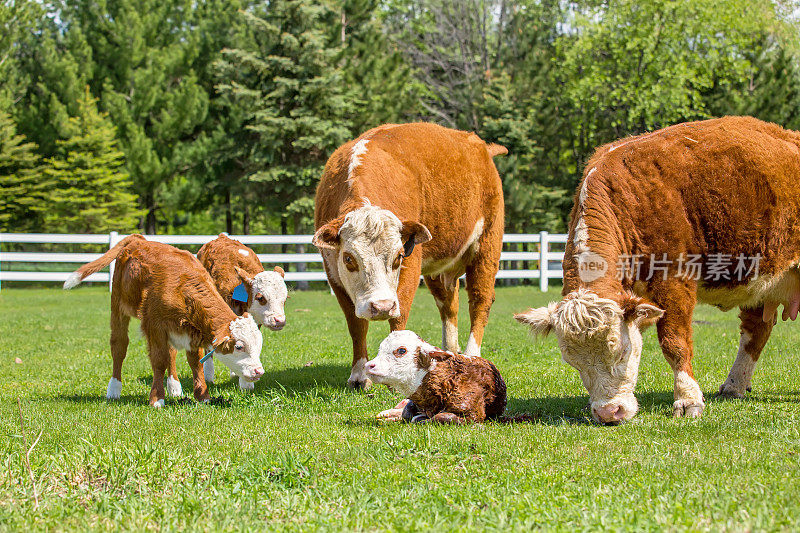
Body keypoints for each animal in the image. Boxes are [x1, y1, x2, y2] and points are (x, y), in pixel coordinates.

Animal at [65, 235, 266, 406]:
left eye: (259, 346)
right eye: (239, 346)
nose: (259, 371)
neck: (184, 288)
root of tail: (139, 239)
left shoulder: (190, 330)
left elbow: (195, 362)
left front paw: (203, 397)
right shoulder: (155, 326)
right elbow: (159, 361)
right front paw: (156, 399)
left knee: (171, 352)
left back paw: (174, 386)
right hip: (118, 306)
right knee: (119, 347)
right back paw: (114, 389)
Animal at [314, 122, 506, 388]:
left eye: (398, 257)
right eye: (349, 259)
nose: (382, 306)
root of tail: (480, 146)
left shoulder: (412, 264)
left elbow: (399, 319)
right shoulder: (333, 272)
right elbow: (356, 326)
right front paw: (359, 375)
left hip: (487, 246)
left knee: (480, 301)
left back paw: (472, 354)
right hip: (439, 269)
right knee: (449, 303)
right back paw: (450, 352)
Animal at [364, 328, 504, 424]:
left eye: (401, 350)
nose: (368, 365)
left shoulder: (473, 413)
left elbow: (442, 416)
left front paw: (422, 419)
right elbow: (407, 413)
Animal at [516, 117, 800, 424]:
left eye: (621, 352)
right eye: (573, 362)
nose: (608, 412)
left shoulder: (674, 282)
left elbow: (675, 343)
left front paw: (687, 399)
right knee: (755, 331)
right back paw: (735, 385)